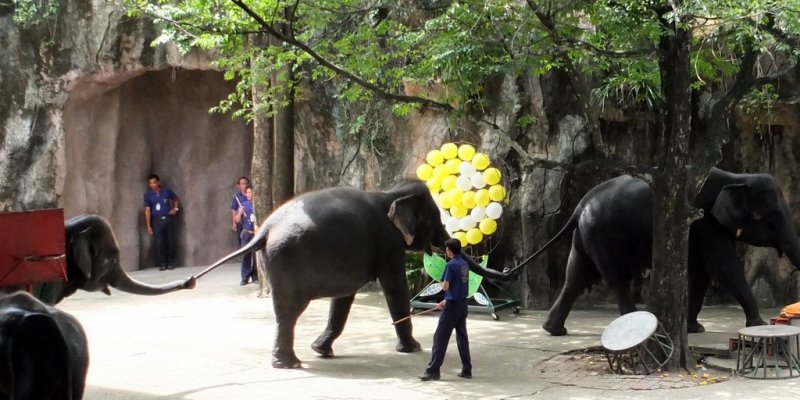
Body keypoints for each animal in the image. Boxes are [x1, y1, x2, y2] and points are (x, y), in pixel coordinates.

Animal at [203, 180, 510, 368]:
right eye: (434, 218)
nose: (508, 269)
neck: (391, 193)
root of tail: (265, 229)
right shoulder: (388, 243)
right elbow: (395, 287)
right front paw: (412, 348)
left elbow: (344, 297)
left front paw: (321, 350)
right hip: (285, 260)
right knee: (289, 312)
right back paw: (290, 364)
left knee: (285, 313)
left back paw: (290, 362)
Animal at [512, 167, 800, 336]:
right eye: (772, 216)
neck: (738, 177)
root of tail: (581, 204)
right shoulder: (705, 221)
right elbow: (723, 267)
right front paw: (759, 325)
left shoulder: (697, 227)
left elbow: (701, 273)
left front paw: (695, 329)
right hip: (603, 234)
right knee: (616, 277)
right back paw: (633, 323)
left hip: (586, 234)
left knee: (575, 275)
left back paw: (553, 330)